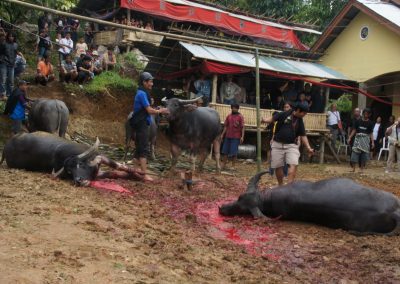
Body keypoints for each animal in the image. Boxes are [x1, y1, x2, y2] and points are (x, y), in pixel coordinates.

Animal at [0, 131, 145, 185]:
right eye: (69, 172)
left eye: (80, 164)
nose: (78, 180)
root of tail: (6, 146)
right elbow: (115, 172)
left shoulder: (101, 158)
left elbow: (118, 168)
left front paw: (142, 175)